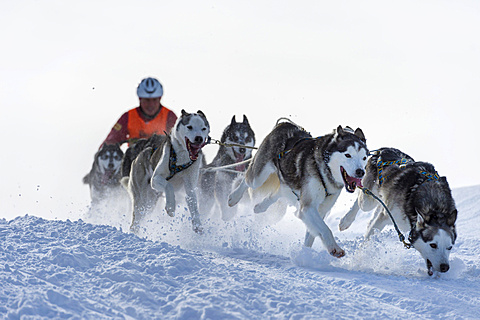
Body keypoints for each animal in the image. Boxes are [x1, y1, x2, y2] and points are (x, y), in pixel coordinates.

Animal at [229, 120, 368, 258]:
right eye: (348, 155)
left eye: (364, 158)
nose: (360, 172)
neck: (323, 170)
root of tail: (286, 123)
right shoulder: (308, 207)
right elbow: (325, 229)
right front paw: (335, 248)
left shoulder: (320, 210)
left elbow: (311, 236)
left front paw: (305, 255)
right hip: (258, 177)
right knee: (246, 180)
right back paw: (233, 198)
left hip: (285, 186)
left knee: (276, 194)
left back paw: (260, 206)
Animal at [338, 148, 458, 276]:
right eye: (433, 245)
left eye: (450, 247)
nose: (445, 267)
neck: (434, 206)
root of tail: (382, 150)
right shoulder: (385, 217)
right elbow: (368, 238)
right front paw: (358, 260)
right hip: (367, 201)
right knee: (361, 197)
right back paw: (346, 221)